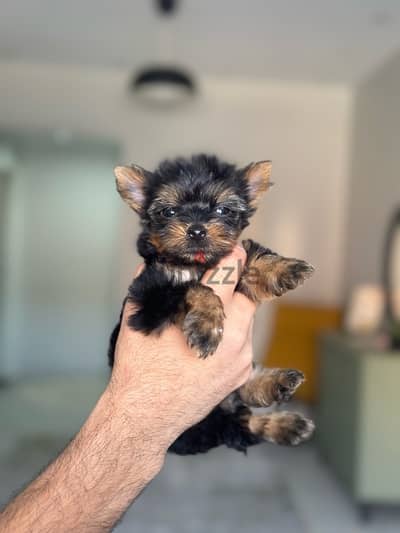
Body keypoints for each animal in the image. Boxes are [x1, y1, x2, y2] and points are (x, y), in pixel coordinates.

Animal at [108, 153, 316, 454]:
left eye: (222, 210)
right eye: (169, 212)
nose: (196, 230)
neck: (196, 263)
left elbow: (252, 259)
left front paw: (283, 268)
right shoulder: (152, 295)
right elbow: (194, 288)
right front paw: (207, 326)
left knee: (242, 403)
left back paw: (282, 397)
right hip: (198, 428)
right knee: (238, 424)